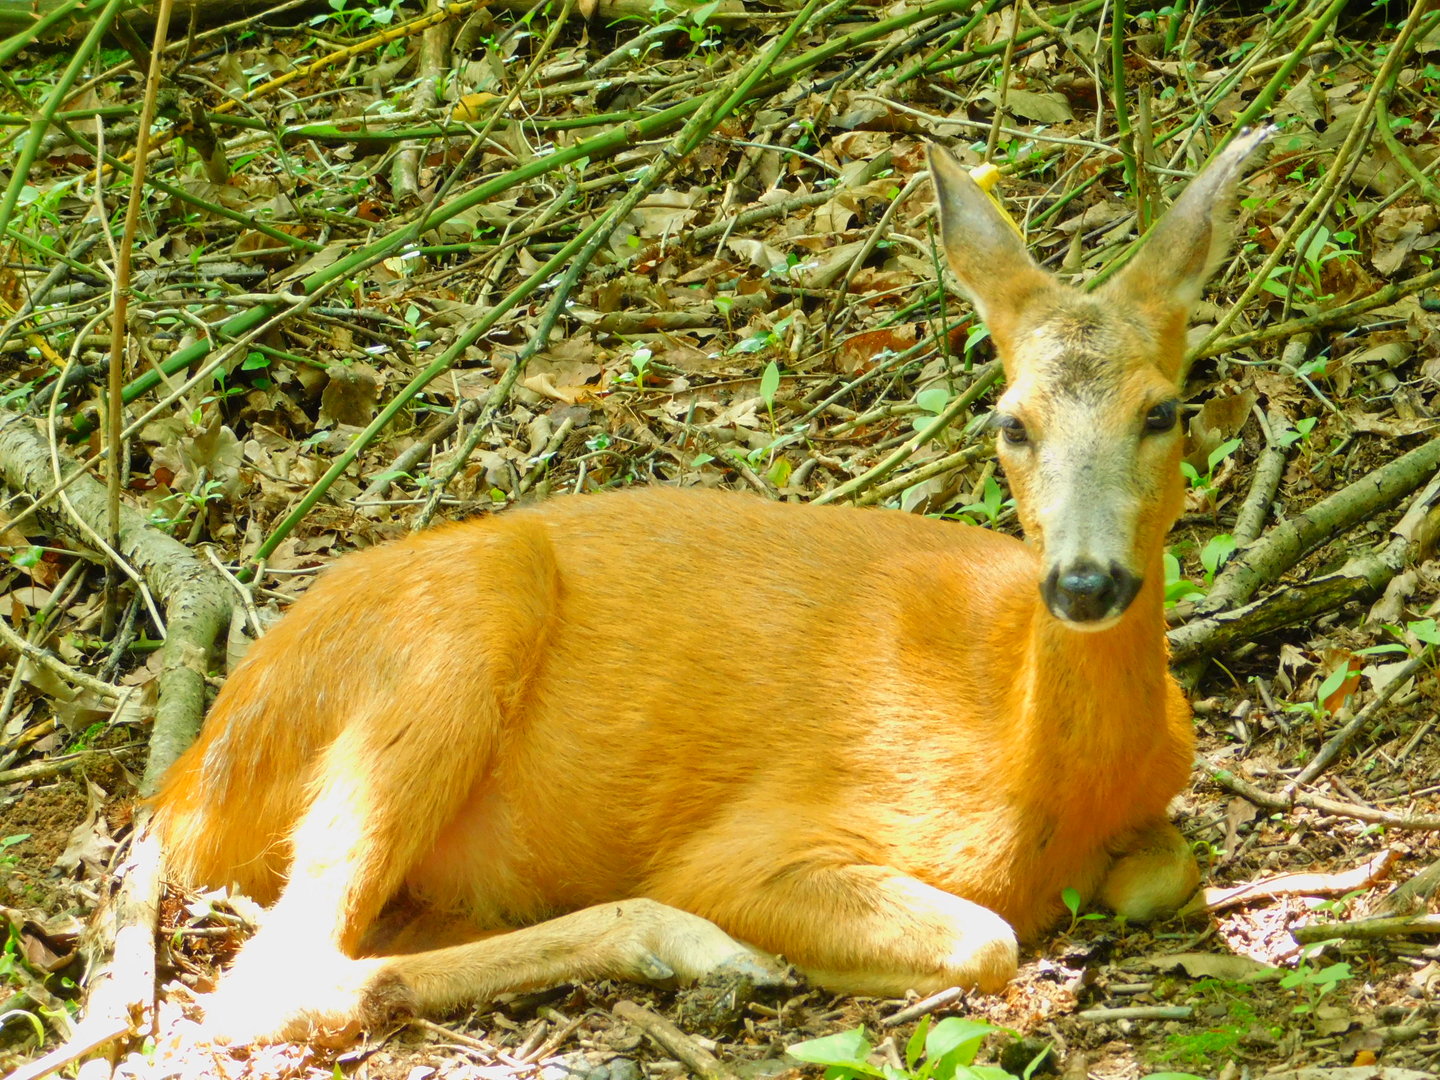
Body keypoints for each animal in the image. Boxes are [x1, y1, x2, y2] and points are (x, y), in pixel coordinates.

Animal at [150, 129, 1270, 1046]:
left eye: (1164, 411)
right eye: (1012, 421)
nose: (1083, 581)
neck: (1040, 769)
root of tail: (181, 791)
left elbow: (1166, 872)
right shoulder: (762, 842)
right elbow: (986, 936)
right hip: (454, 630)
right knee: (268, 979)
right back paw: (692, 945)